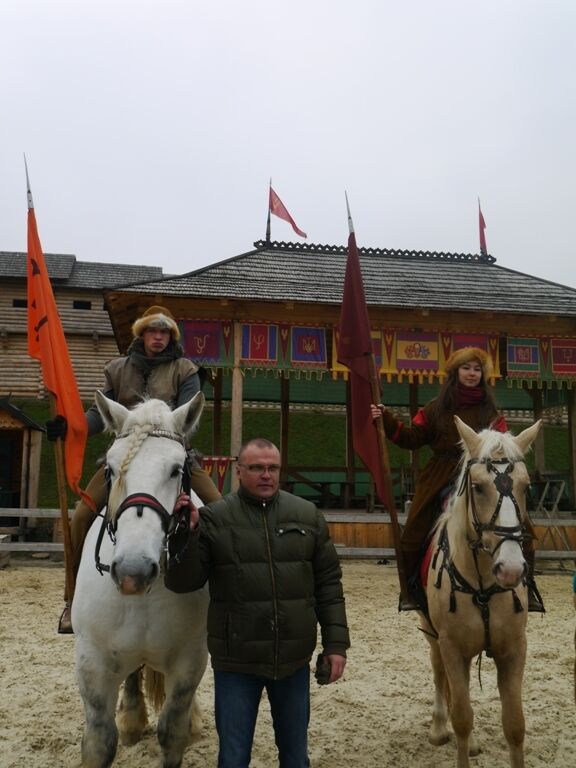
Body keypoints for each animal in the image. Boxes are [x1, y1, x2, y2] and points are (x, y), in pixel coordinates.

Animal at [72, 396, 210, 768]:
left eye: (177, 469)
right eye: (110, 469)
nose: (133, 572)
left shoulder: (189, 660)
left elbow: (172, 733)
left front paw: (184, 726)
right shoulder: (93, 662)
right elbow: (99, 741)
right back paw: (132, 720)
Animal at [420, 416, 544, 768]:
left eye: (525, 487)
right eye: (477, 487)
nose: (511, 569)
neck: (483, 586)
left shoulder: (513, 649)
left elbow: (515, 725)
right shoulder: (450, 646)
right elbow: (462, 717)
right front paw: (454, 732)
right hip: (431, 633)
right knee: (439, 673)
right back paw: (439, 727)